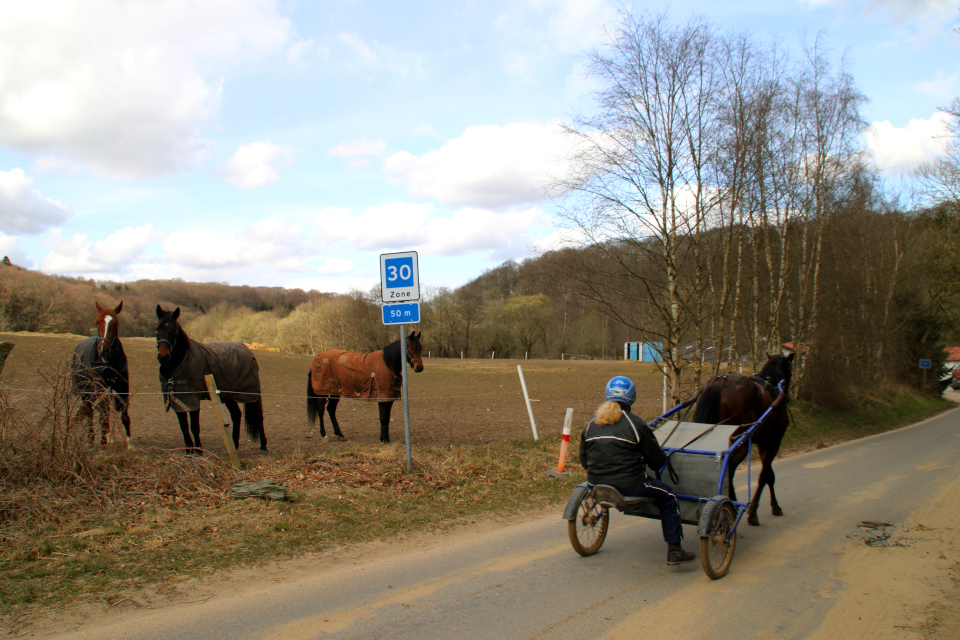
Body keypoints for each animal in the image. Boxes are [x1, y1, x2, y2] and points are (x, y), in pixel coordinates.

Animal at [71, 302, 130, 448]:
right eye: (98, 322)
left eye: (115, 324)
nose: (103, 348)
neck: (107, 362)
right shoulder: (99, 388)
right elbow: (103, 414)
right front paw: (103, 444)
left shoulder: (121, 387)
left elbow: (123, 413)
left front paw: (130, 444)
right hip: (86, 393)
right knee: (91, 412)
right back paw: (91, 440)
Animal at [688, 352, 796, 528]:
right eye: (790, 371)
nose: (787, 398)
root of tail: (719, 383)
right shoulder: (773, 442)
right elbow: (766, 475)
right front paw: (758, 511)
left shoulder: (763, 443)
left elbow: (768, 475)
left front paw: (772, 506)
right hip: (741, 441)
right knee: (729, 468)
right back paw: (731, 503)